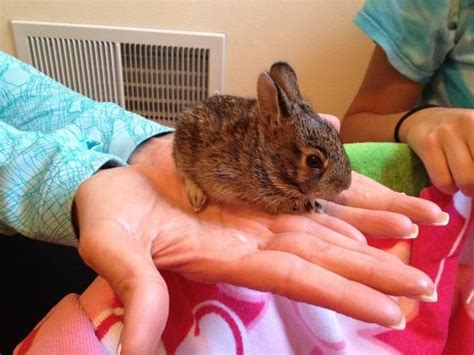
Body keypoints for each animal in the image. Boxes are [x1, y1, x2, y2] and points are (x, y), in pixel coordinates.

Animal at [172, 61, 350, 214]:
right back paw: (196, 196)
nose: (345, 185)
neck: (264, 157)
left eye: (336, 135)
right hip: (184, 152)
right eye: (313, 161)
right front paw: (307, 204)